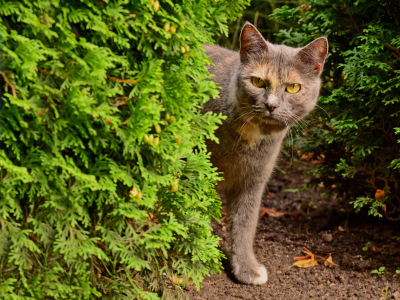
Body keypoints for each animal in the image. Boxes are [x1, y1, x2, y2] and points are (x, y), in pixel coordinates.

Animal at [203, 22, 328, 284]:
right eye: (258, 82)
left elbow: (245, 223)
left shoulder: (253, 180)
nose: (271, 105)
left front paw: (246, 269)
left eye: (293, 87)